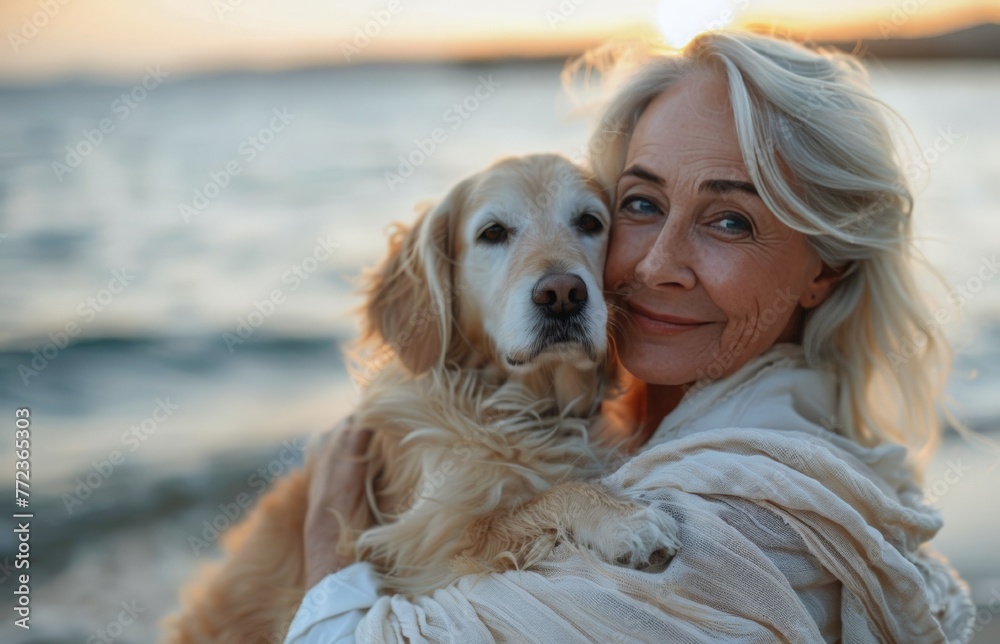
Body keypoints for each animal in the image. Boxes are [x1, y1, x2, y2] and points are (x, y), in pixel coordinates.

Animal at [164, 153, 680, 640]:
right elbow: (545, 498)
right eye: (493, 232)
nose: (563, 294)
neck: (524, 407)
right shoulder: (426, 553)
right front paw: (625, 519)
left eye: (590, 223)